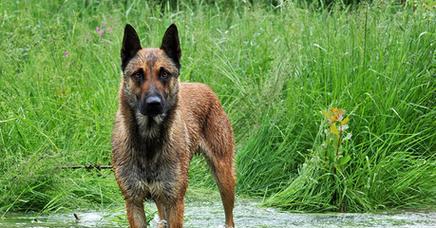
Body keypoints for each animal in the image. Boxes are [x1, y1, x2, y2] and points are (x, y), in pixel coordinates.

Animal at [110, 24, 237, 227]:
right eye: (138, 74)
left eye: (164, 74)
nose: (153, 104)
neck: (149, 141)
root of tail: (207, 89)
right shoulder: (134, 202)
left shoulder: (175, 201)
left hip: (224, 177)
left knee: (229, 217)